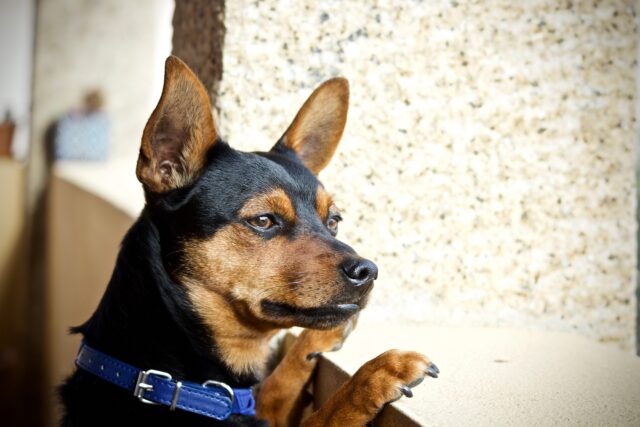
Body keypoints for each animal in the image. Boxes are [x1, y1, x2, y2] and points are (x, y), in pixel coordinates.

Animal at [58, 56, 436, 427]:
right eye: (264, 220)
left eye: (334, 222)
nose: (368, 271)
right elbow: (326, 416)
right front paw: (377, 374)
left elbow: (274, 389)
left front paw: (312, 343)